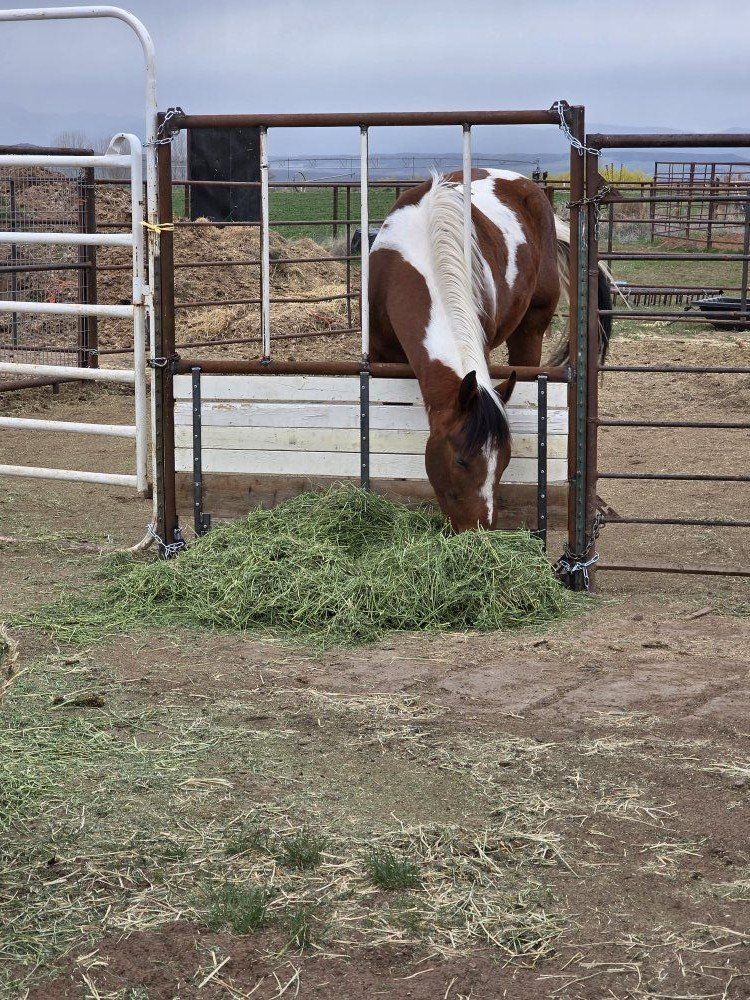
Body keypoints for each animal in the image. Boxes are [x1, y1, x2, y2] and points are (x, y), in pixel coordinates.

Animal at [368, 168, 612, 532]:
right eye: (460, 460)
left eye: (504, 462)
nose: (477, 529)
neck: (422, 250)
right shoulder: (381, 354)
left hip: (531, 328)